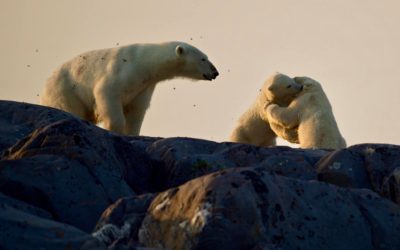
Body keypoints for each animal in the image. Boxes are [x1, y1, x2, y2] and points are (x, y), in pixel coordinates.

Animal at [40, 41, 219, 136]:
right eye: (203, 59)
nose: (215, 72)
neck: (143, 62)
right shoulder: (120, 72)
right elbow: (107, 94)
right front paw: (114, 129)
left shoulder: (143, 86)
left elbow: (136, 110)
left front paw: (132, 133)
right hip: (65, 89)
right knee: (69, 108)